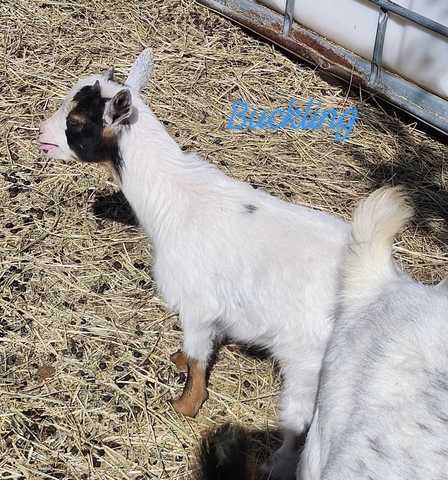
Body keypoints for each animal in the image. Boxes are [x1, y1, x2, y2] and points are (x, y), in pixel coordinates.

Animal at [38, 48, 350, 478]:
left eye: (76, 123)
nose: (41, 136)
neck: (175, 200)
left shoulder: (199, 305)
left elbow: (200, 357)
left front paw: (185, 405)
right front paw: (179, 360)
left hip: (307, 361)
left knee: (299, 425)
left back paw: (272, 466)